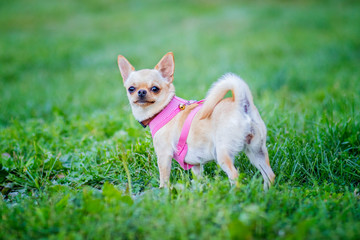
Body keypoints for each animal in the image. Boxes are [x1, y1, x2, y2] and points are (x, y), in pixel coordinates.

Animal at [116, 52, 274, 189]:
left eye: (155, 89)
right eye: (131, 89)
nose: (141, 92)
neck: (165, 109)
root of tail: (241, 104)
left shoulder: (163, 155)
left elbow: (164, 178)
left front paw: (163, 193)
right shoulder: (196, 164)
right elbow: (198, 178)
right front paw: (199, 191)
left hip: (224, 154)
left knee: (235, 176)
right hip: (256, 151)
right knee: (269, 175)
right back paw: (266, 192)